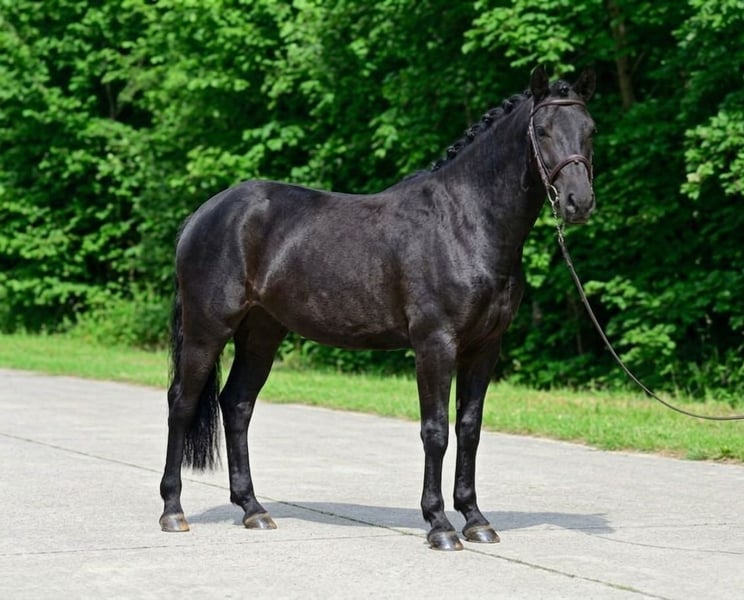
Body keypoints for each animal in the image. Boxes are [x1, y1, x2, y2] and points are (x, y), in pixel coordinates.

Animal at [159, 66, 597, 551]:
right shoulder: (435, 344)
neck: (465, 222)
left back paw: (253, 510)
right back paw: (173, 511)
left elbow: (469, 428)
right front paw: (440, 525)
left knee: (236, 404)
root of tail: (203, 214)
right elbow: (435, 430)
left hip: (261, 333)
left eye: (590, 129)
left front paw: (476, 519)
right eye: (543, 130)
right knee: (182, 403)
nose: (578, 202)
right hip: (208, 329)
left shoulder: (485, 347)